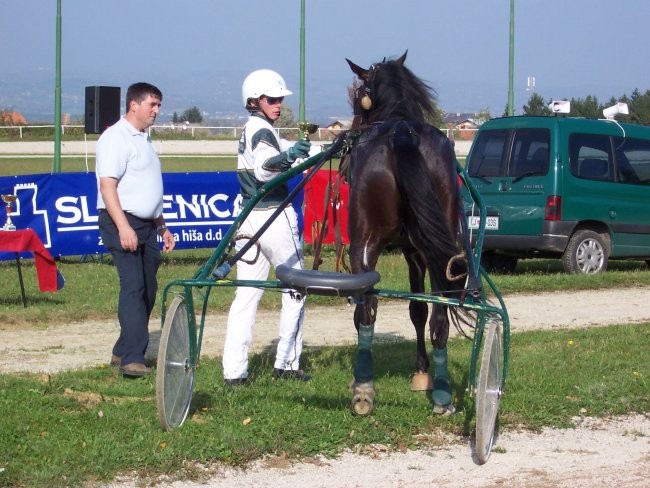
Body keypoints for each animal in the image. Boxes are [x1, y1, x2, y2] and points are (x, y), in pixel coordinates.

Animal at [344, 50, 470, 416]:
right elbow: (419, 309)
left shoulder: (404, 250)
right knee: (439, 312)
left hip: (364, 244)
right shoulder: (416, 250)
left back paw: (363, 387)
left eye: (357, 96)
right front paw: (422, 372)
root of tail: (402, 133)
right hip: (439, 249)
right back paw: (442, 394)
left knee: (367, 307)